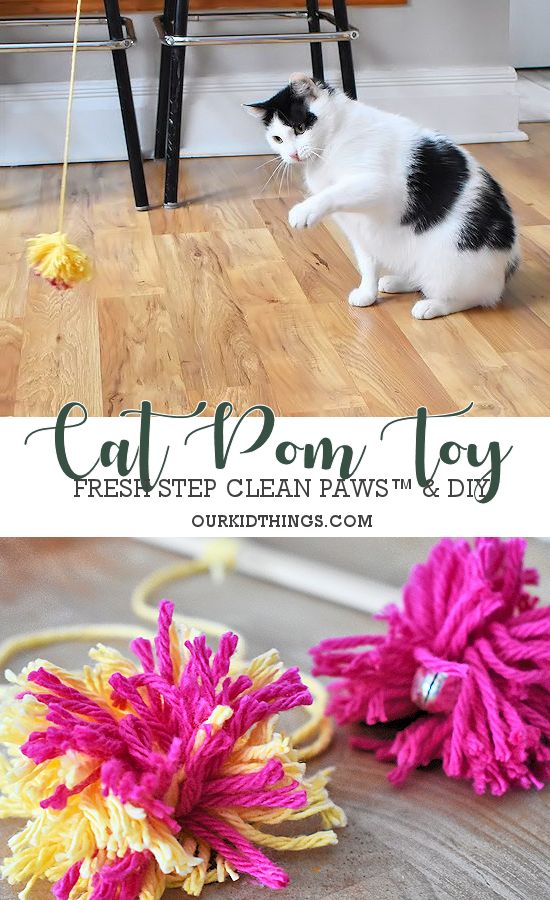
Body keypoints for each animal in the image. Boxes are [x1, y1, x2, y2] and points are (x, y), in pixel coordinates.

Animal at [247, 74, 520, 320]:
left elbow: (335, 192)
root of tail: (508, 264)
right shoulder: (361, 234)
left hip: (451, 266)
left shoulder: (377, 184)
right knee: (424, 280)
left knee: (473, 297)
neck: (327, 149)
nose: (291, 154)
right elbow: (368, 266)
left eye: (300, 128)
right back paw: (397, 282)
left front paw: (304, 211)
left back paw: (432, 306)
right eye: (277, 139)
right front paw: (367, 294)